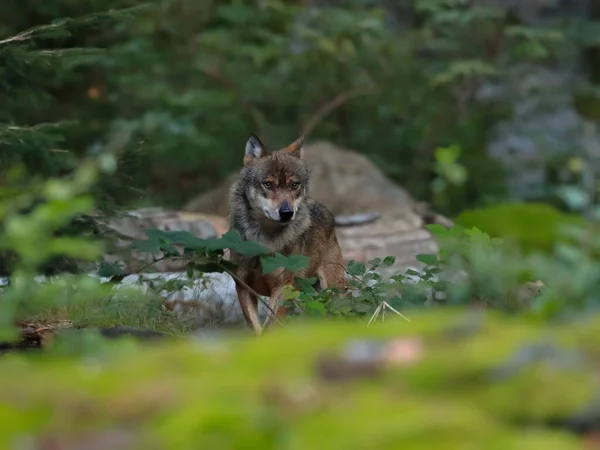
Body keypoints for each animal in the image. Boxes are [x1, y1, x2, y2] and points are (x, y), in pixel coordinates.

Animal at [227, 133, 344, 334]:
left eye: (294, 185)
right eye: (268, 184)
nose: (287, 213)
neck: (264, 240)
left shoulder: (283, 287)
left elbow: (270, 326)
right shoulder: (243, 287)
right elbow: (255, 327)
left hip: (331, 293)